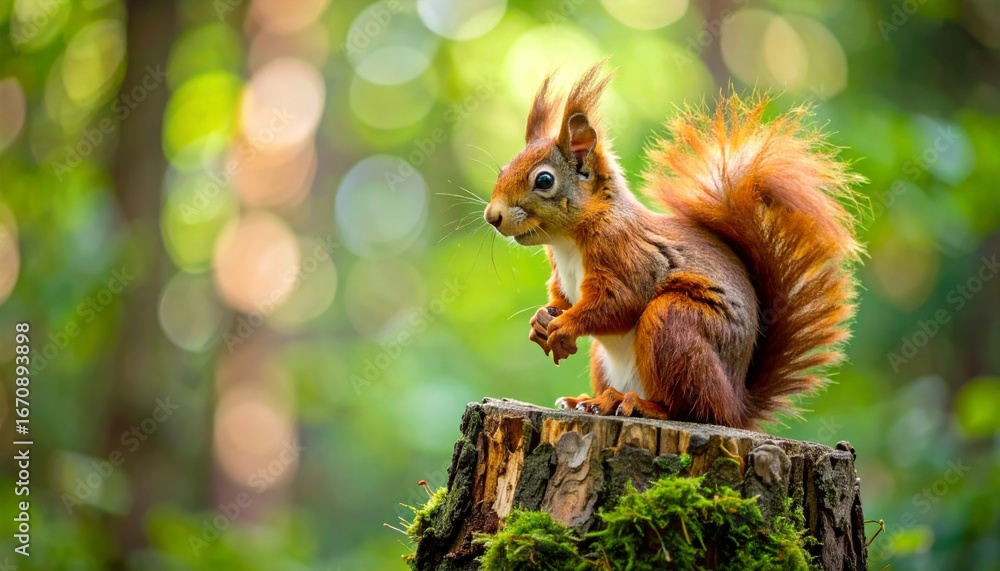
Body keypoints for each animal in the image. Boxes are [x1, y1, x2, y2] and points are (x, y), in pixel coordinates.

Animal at [482, 62, 863, 430]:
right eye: (502, 170)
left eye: (544, 180)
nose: (492, 216)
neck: (567, 241)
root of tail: (737, 405)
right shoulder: (561, 275)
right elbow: (561, 298)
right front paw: (540, 320)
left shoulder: (626, 254)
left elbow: (618, 303)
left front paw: (565, 325)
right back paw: (588, 401)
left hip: (675, 323)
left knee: (692, 410)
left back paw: (638, 405)